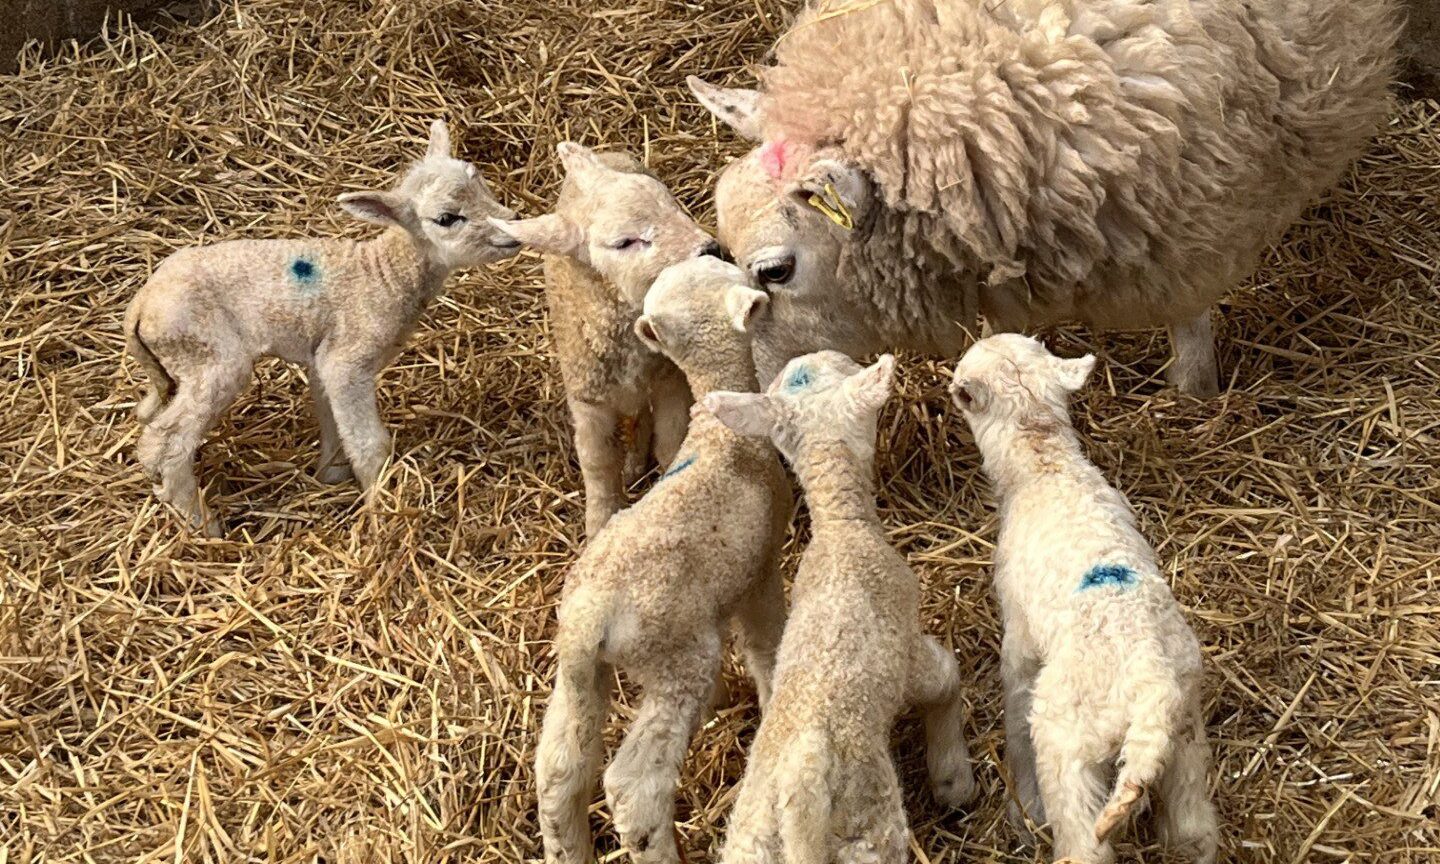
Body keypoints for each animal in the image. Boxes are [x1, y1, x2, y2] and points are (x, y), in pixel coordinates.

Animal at [124, 120, 518, 536]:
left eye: (481, 182)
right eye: (446, 218)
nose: (512, 225)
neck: (386, 273)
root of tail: (140, 306)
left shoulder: (322, 360)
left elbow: (332, 422)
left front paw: (330, 475)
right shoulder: (346, 362)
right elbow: (370, 443)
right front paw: (379, 503)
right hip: (209, 356)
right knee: (165, 442)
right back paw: (203, 525)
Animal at [490, 144, 721, 539]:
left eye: (673, 205)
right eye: (625, 242)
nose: (711, 249)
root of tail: (603, 154)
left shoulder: (669, 382)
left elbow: (671, 444)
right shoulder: (588, 404)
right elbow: (598, 469)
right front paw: (598, 526)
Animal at [534, 255, 791, 864]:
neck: (722, 433)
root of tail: (589, 619)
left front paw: (726, 701)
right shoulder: (760, 574)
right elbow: (765, 646)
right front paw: (769, 695)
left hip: (579, 674)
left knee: (559, 772)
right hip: (675, 660)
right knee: (634, 787)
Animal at [703, 350, 978, 864]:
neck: (841, 523)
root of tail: (800, 785)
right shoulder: (906, 648)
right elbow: (946, 679)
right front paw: (954, 781)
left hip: (749, 845)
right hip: (871, 830)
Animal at [948, 333, 1219, 864]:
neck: (1045, 466)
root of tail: (1152, 687)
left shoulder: (1019, 638)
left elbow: (1014, 703)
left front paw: (1022, 806)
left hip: (1068, 742)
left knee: (1084, 844)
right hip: (1185, 734)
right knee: (1194, 829)